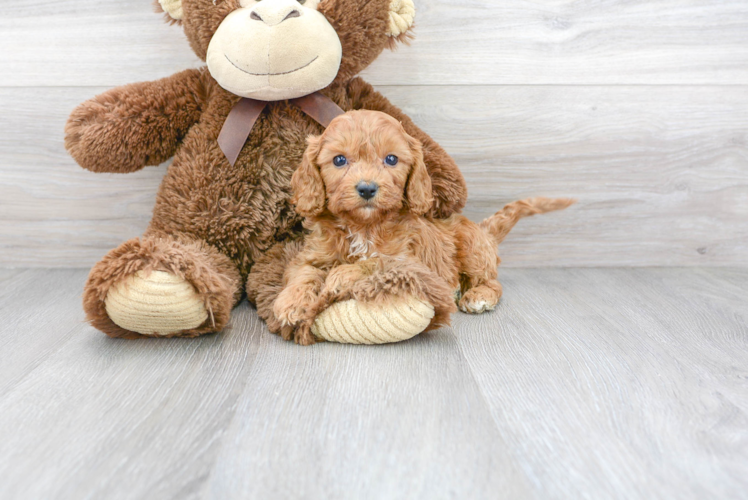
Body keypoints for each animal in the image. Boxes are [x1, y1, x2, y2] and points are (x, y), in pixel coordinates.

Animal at [274, 110, 572, 346]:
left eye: (391, 159)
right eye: (339, 160)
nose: (367, 188)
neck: (364, 225)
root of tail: (483, 230)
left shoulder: (408, 261)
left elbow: (375, 262)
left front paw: (341, 275)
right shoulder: (312, 255)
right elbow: (303, 273)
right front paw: (291, 303)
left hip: (472, 250)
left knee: (492, 281)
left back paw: (478, 296)